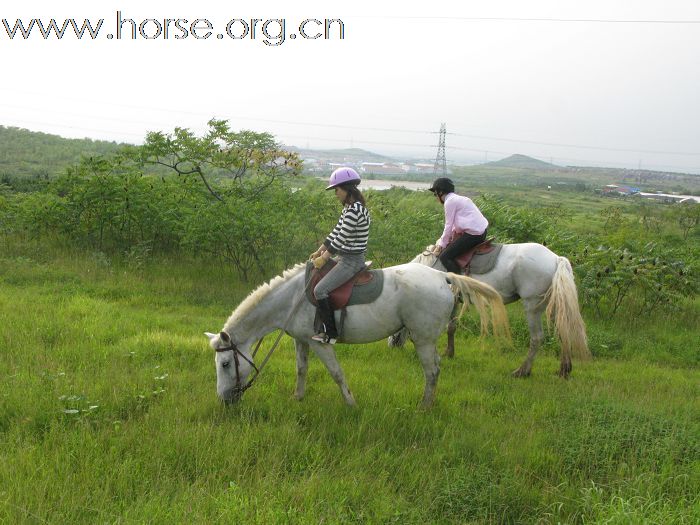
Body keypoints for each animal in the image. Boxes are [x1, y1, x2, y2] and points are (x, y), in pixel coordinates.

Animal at [205, 260, 506, 406]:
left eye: (226, 363)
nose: (224, 400)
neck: (292, 299)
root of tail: (443, 277)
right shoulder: (302, 341)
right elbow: (301, 370)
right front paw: (297, 398)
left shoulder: (320, 343)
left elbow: (337, 373)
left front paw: (351, 403)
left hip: (423, 339)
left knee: (431, 372)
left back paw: (424, 406)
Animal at [394, 242, 592, 376]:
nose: (393, 345)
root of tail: (556, 258)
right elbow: (451, 327)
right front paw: (449, 352)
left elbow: (449, 326)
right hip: (554, 304)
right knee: (563, 331)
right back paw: (564, 370)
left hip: (532, 307)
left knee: (537, 338)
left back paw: (522, 371)